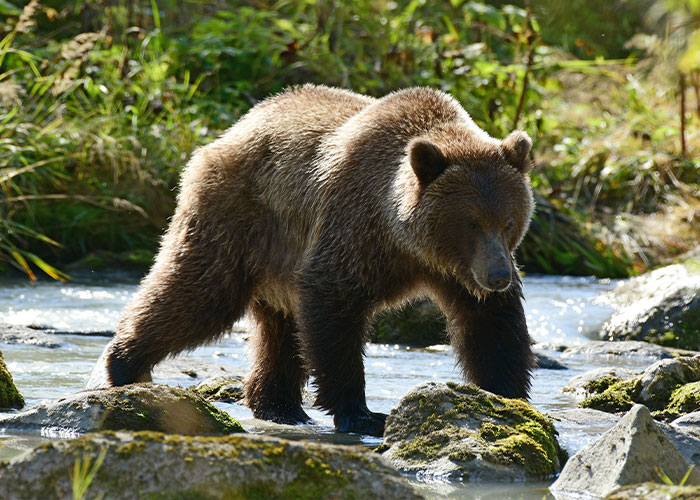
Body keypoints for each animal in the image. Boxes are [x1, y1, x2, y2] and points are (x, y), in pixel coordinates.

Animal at [87, 84, 535, 437]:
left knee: (279, 330)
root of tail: (231, 131)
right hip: (238, 219)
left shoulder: (457, 272)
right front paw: (362, 413)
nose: (498, 275)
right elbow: (334, 306)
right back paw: (123, 364)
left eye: (508, 221)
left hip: (275, 258)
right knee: (198, 292)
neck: (405, 240)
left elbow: (490, 325)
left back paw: (279, 405)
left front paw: (508, 396)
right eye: (471, 222)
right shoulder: (354, 229)